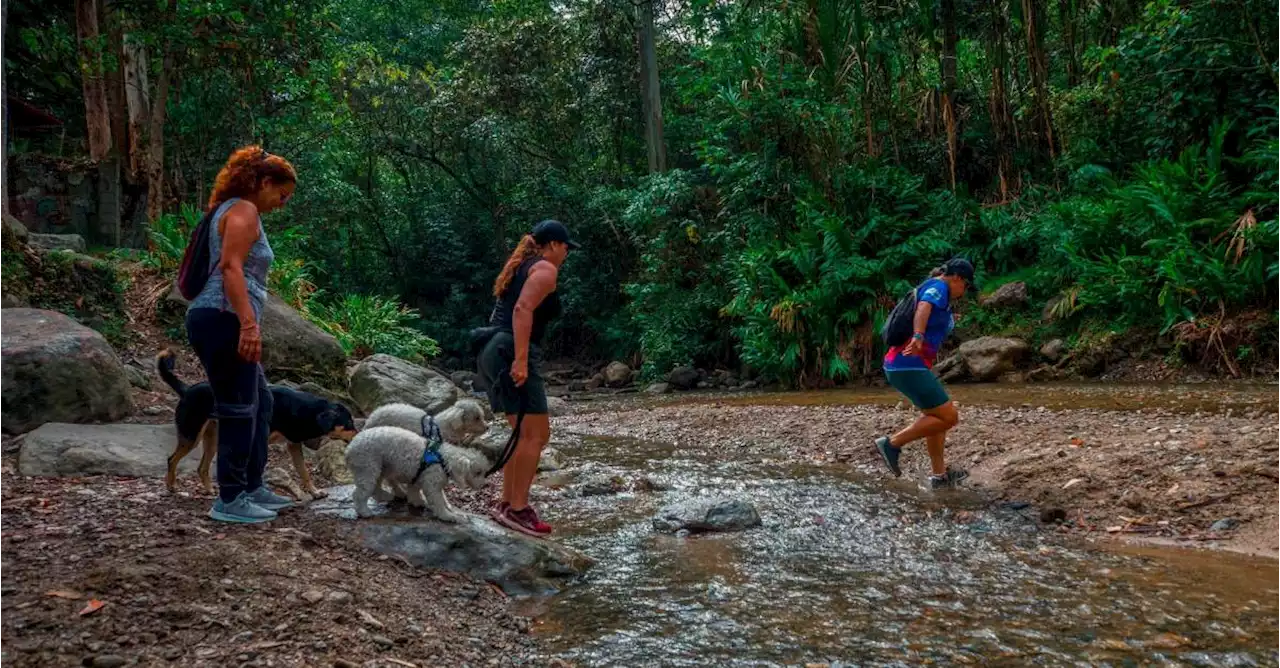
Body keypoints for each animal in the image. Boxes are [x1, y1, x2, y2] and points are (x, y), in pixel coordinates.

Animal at [155, 350, 358, 496]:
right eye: (349, 423)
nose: (359, 434)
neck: (307, 409)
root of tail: (188, 389)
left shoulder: (293, 444)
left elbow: (304, 472)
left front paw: (314, 492)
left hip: (212, 439)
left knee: (202, 467)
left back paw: (209, 490)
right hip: (191, 436)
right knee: (172, 459)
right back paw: (171, 486)